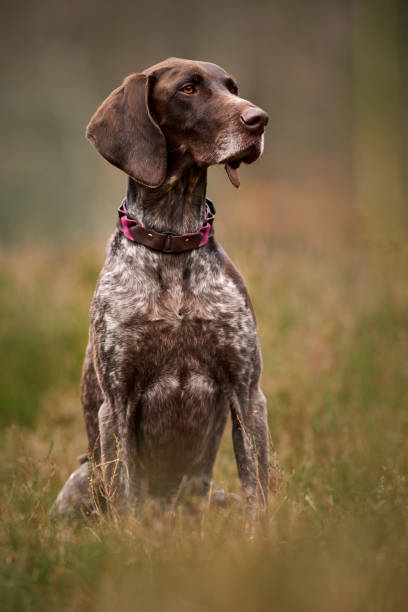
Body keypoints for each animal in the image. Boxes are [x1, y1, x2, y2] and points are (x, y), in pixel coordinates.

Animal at [54, 57, 270, 520]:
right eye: (188, 88)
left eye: (232, 88)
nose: (259, 119)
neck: (172, 241)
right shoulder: (116, 402)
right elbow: (123, 497)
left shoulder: (247, 393)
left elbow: (258, 491)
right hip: (81, 479)